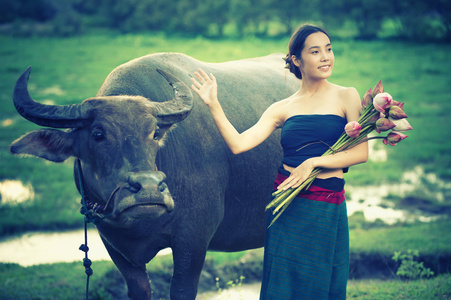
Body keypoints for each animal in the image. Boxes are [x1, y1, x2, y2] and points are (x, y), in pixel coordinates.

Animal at [9, 52, 300, 298]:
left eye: (155, 133)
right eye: (98, 134)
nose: (148, 189)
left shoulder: (193, 241)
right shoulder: (114, 245)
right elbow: (139, 290)